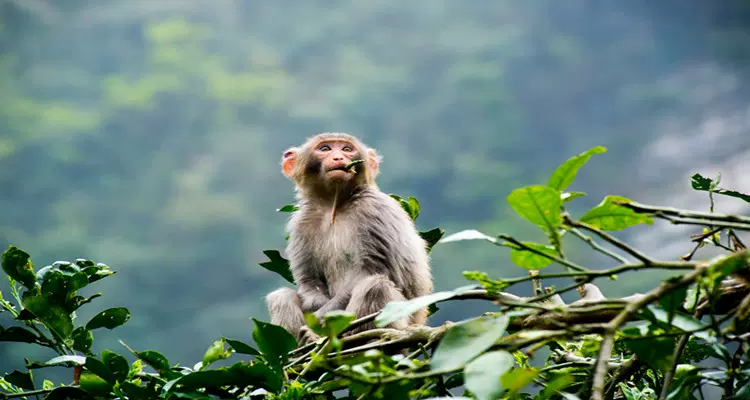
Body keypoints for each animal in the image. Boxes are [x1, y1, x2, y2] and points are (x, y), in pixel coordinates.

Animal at [266, 132, 434, 344]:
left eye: (347, 149)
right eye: (325, 149)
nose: (339, 157)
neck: (333, 205)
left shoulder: (374, 210)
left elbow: (370, 270)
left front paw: (317, 323)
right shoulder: (300, 223)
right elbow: (309, 280)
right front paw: (314, 307)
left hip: (402, 321)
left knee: (375, 285)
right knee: (281, 297)